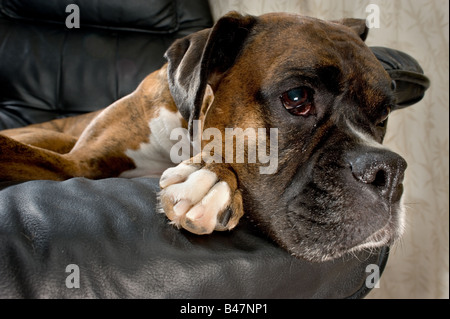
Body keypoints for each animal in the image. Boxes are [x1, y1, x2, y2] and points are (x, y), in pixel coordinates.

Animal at [0, 12, 414, 262]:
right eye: (297, 97)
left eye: (383, 116)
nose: (390, 172)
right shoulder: (79, 164)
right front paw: (212, 175)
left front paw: (212, 176)